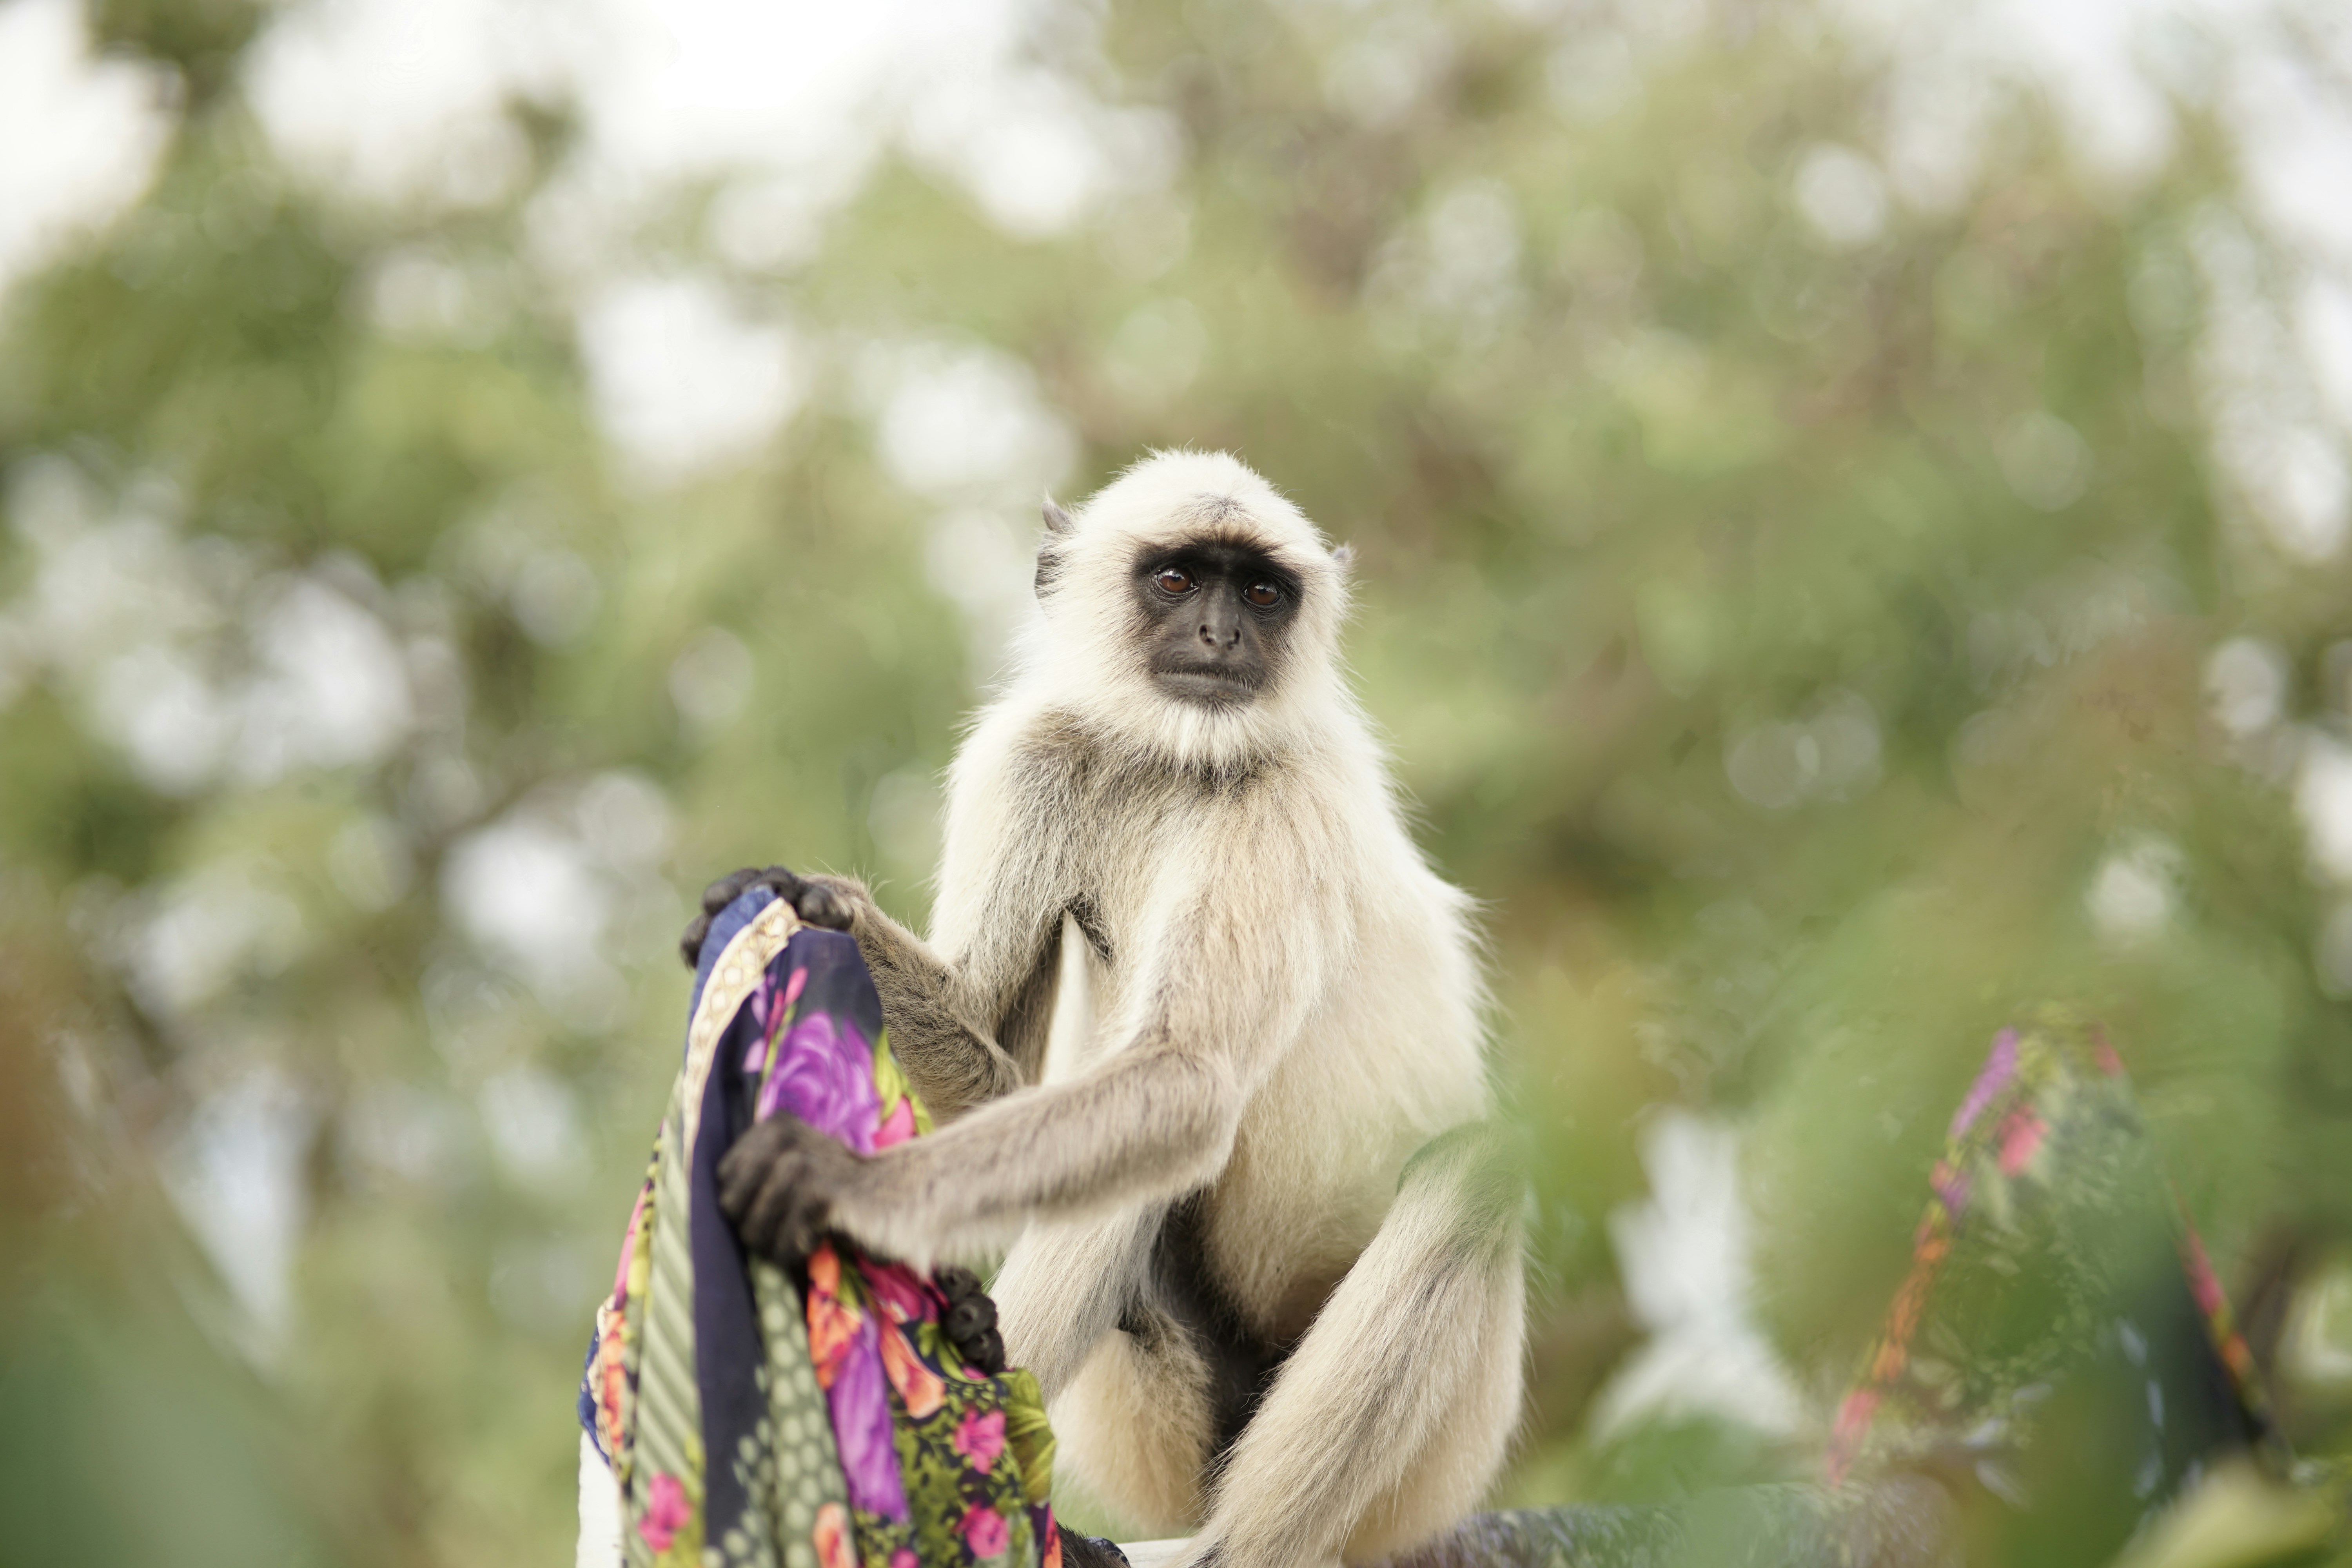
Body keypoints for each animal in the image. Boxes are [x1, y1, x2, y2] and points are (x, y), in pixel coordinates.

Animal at [694, 451, 1524, 1568]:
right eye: (1177, 580)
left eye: (1262, 593)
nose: (1221, 636)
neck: (1179, 760)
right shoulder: (1035, 752)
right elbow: (996, 1051)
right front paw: (810, 903)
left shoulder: (1282, 804)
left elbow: (1189, 1076)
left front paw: (840, 1181)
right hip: (1155, 1413)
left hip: (1422, 1470)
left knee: (1464, 1168)